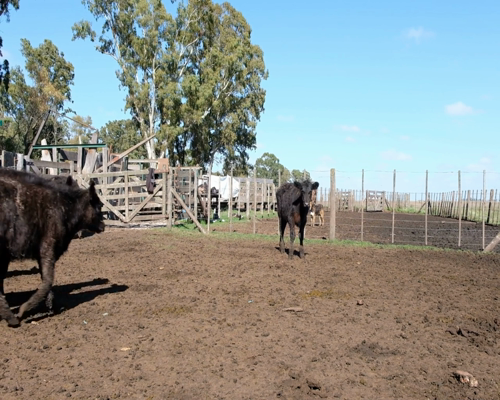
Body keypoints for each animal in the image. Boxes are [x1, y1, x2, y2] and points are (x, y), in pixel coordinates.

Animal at [0, 169, 103, 328]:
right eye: (99, 206)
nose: (103, 225)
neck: (65, 207)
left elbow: (46, 279)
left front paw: (50, 305)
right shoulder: (48, 247)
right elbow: (48, 280)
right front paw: (24, 310)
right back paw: (11, 318)